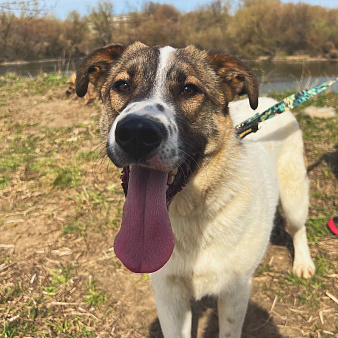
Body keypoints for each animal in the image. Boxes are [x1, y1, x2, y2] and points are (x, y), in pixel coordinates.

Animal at [75, 42, 316, 338]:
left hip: (294, 195)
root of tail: (272, 101)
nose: (137, 134)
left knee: (298, 228)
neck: (191, 213)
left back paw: (303, 263)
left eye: (189, 89)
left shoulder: (235, 291)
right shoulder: (168, 295)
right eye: (122, 85)